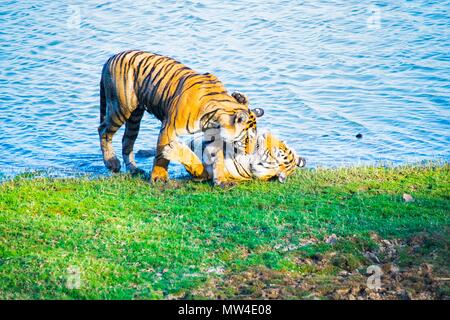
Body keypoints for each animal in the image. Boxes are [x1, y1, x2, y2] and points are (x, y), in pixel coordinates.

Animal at [162, 131, 306, 184]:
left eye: (274, 153)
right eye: (281, 143)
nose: (266, 134)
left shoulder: (206, 173)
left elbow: (194, 163)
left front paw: (171, 150)